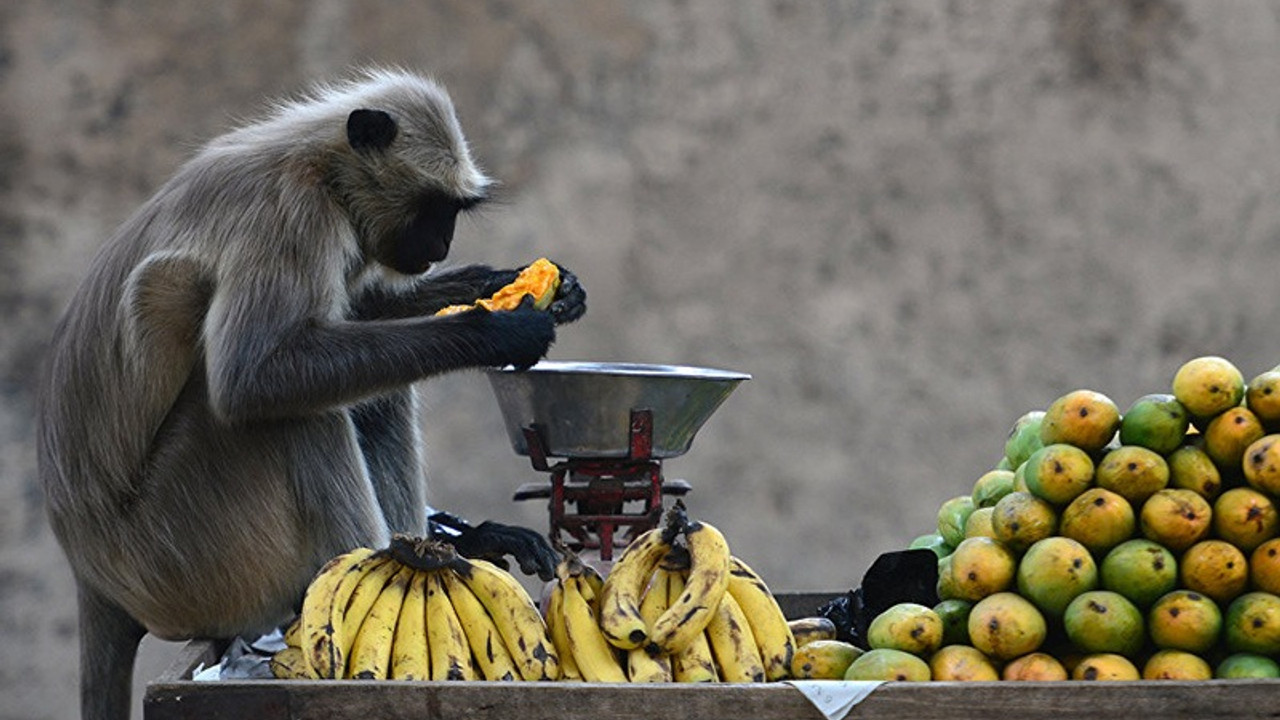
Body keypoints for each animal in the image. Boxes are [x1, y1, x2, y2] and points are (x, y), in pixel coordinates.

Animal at [33, 68, 586, 717]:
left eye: (453, 212)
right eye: (434, 208)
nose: (440, 247)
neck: (321, 165)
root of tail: (93, 573)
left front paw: (507, 284)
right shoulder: (289, 215)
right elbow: (253, 377)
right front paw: (494, 329)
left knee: (371, 392)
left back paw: (427, 552)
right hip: (181, 555)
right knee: (281, 412)